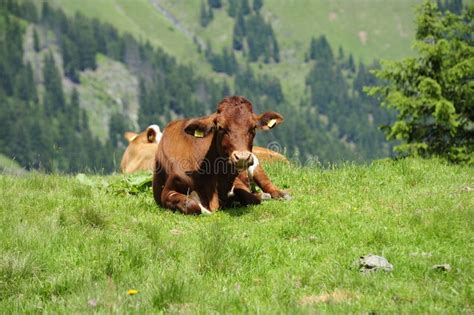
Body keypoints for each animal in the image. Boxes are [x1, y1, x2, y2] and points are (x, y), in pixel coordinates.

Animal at [154, 96, 290, 215]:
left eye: (253, 127)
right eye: (220, 127)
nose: (242, 157)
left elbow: (250, 197)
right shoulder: (167, 191)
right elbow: (191, 204)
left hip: (255, 162)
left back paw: (280, 195)